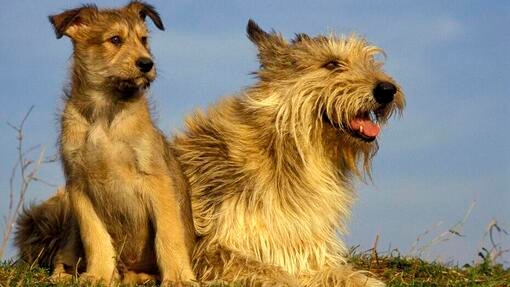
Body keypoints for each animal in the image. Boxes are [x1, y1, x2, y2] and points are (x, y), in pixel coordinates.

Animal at [13, 1, 196, 286]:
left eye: (144, 39)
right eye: (115, 39)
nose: (147, 64)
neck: (104, 112)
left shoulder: (157, 181)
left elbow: (168, 234)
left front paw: (178, 277)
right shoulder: (79, 186)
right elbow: (95, 238)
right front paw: (98, 275)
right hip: (70, 229)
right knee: (66, 254)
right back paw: (64, 275)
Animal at [171, 19, 402, 286]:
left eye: (369, 61)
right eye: (332, 64)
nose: (387, 90)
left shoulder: (307, 254)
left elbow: (348, 276)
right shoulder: (212, 249)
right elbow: (271, 272)